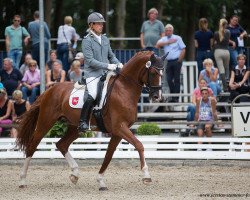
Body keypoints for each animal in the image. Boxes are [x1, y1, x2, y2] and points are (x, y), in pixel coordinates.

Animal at [16, 50, 167, 190]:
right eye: (153, 72)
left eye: (163, 73)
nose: (157, 97)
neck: (124, 89)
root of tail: (49, 90)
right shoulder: (120, 127)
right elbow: (139, 145)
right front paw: (146, 176)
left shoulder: (118, 132)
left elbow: (109, 154)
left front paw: (101, 181)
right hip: (45, 122)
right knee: (32, 145)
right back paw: (22, 180)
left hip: (75, 127)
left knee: (62, 144)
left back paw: (75, 174)